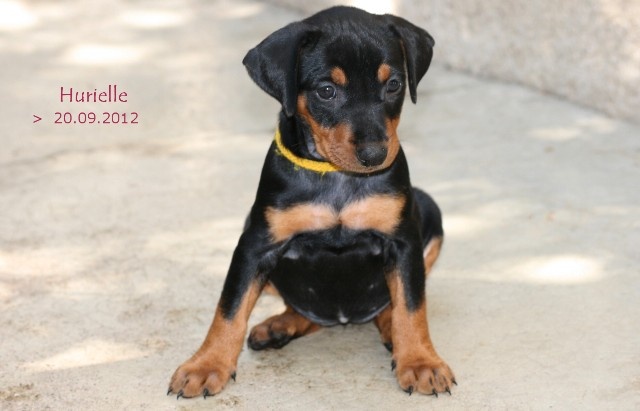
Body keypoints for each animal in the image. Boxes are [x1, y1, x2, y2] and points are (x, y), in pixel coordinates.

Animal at [168, 6, 455, 398]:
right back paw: (278, 326)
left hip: (428, 208)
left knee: (392, 304)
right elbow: (229, 308)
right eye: (326, 91)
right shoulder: (255, 244)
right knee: (300, 310)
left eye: (394, 85)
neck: (335, 176)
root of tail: (342, 318)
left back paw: (387, 330)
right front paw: (205, 365)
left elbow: (412, 306)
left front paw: (421, 362)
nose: (375, 155)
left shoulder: (403, 241)